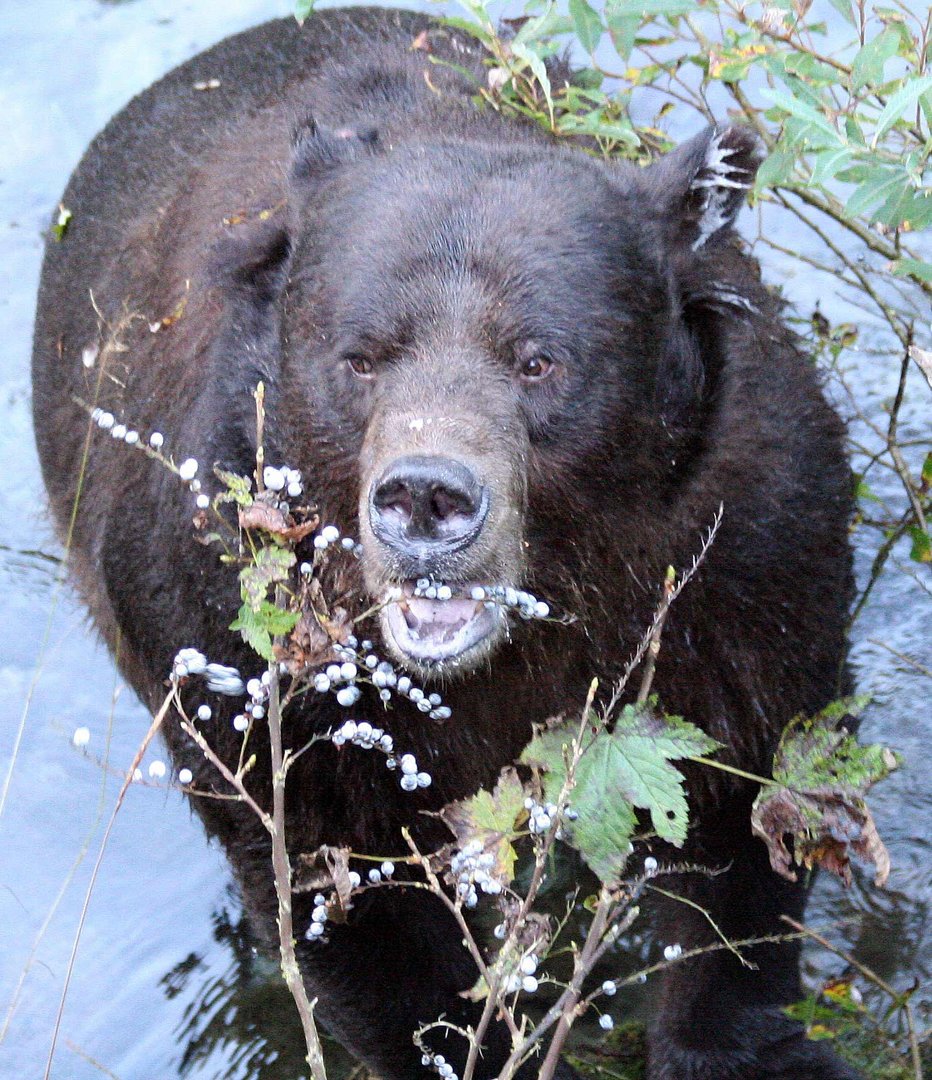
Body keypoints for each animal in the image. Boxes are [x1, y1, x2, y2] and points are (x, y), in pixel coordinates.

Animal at [31, 8, 859, 1080]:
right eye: (361, 356)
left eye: (540, 359)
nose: (426, 497)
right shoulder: (227, 622)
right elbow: (341, 891)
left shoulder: (744, 552)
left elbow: (750, 795)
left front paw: (736, 1040)